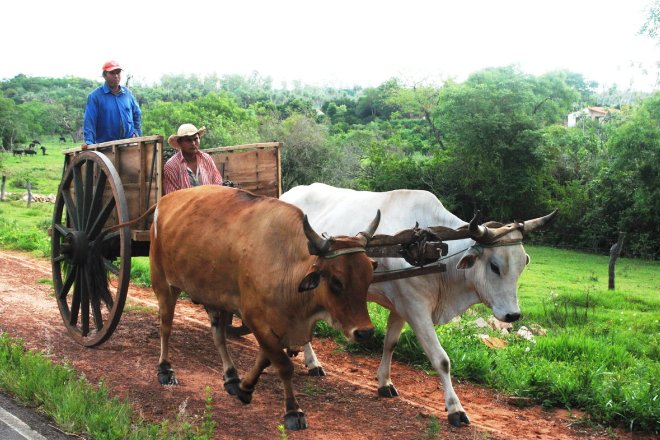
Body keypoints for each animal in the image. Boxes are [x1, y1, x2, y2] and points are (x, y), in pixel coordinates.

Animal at [148, 186, 376, 430]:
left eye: (369, 277)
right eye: (336, 281)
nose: (365, 332)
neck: (286, 265)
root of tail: (164, 201)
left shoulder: (280, 326)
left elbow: (266, 359)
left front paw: (244, 388)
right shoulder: (255, 319)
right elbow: (284, 365)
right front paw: (293, 411)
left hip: (213, 295)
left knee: (218, 336)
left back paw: (231, 376)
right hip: (163, 283)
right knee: (166, 327)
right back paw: (165, 369)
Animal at [280, 182, 556, 426]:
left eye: (522, 265)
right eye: (495, 266)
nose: (513, 315)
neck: (432, 251)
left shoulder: (401, 307)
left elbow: (390, 343)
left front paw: (385, 383)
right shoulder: (416, 309)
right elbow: (441, 359)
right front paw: (455, 409)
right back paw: (311, 362)